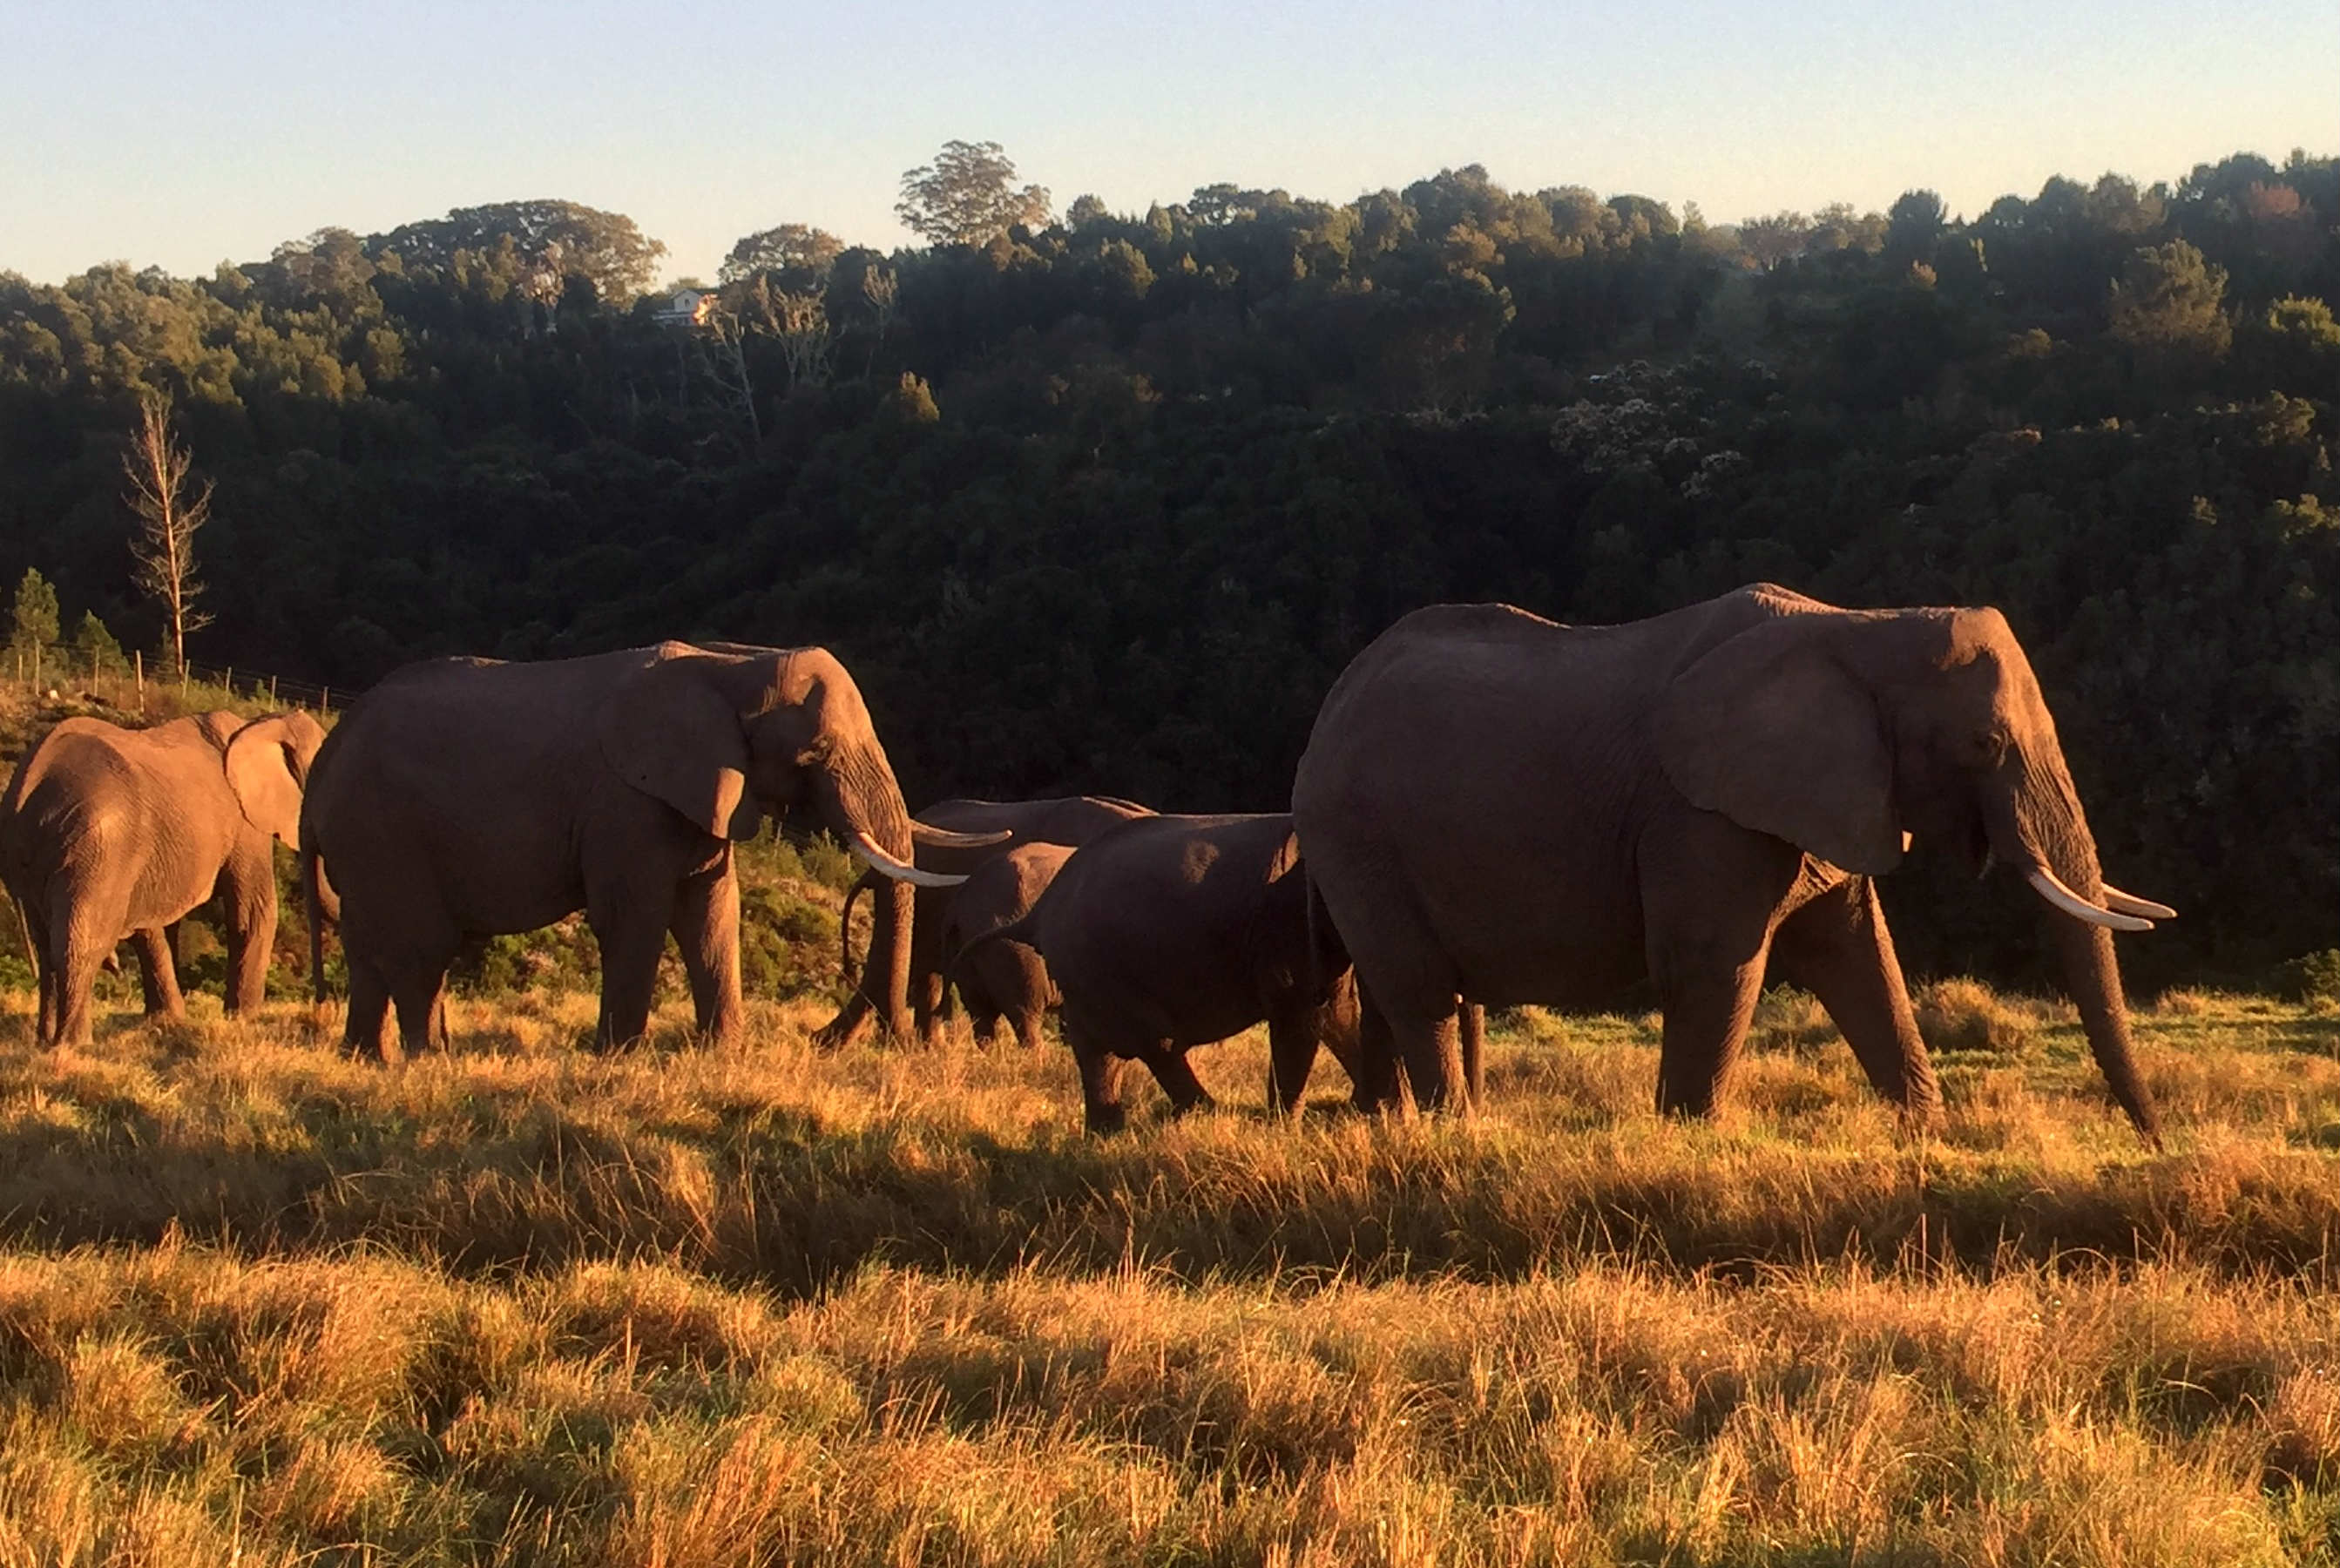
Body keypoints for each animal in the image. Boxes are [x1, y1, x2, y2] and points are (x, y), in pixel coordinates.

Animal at [0, 711, 332, 1044]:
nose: (322, 1002)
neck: (266, 723)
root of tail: (25, 786)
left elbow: (148, 926)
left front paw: (167, 1022)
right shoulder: (245, 823)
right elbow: (253, 913)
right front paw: (242, 1021)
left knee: (46, 946)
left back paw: (44, 1041)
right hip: (96, 842)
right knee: (80, 941)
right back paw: (73, 1044)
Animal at [299, 641, 987, 1067]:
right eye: (813, 754)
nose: (822, 1040)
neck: (735, 662)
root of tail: (326, 755)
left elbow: (712, 911)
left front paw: (722, 1056)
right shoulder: (625, 802)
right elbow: (635, 916)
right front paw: (617, 1058)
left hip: (363, 840)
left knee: (368, 945)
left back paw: (367, 1059)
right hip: (384, 829)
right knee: (420, 946)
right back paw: (428, 1060)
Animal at [959, 819, 1366, 1137]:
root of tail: (1040, 912)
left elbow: (1338, 1013)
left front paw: (1368, 1111)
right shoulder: (1288, 926)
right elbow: (1304, 1012)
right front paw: (1285, 1130)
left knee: (1103, 1051)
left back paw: (1107, 1135)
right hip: (1095, 967)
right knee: (1156, 1042)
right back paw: (1204, 1113)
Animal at [1282, 580, 2171, 1142]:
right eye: (1984, 744)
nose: (2155, 1142)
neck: (1862, 624)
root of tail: (1328, 706)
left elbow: (1861, 961)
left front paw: (1927, 1137)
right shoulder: (1698, 814)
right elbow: (1715, 964)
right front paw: (1691, 1142)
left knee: (1394, 994)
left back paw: (1392, 1128)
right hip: (1356, 835)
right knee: (1418, 990)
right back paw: (1454, 1133)